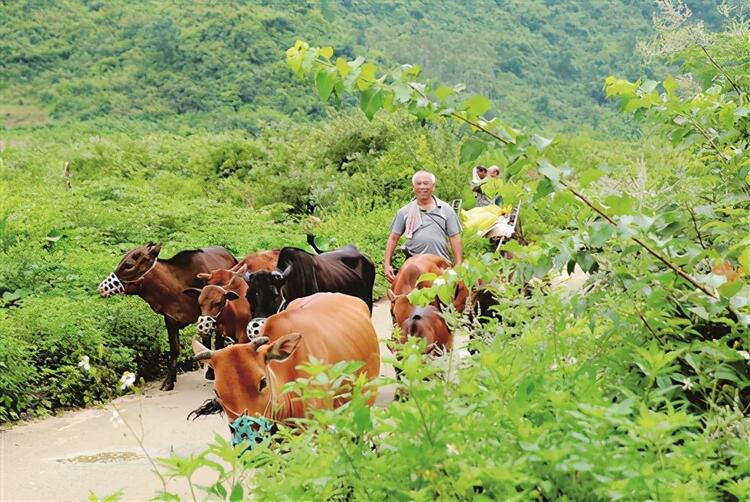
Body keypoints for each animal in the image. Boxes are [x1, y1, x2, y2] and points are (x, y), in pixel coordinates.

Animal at [98, 241, 236, 390]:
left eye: (129, 265)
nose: (101, 288)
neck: (177, 287)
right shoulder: (170, 320)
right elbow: (175, 350)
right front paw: (169, 381)